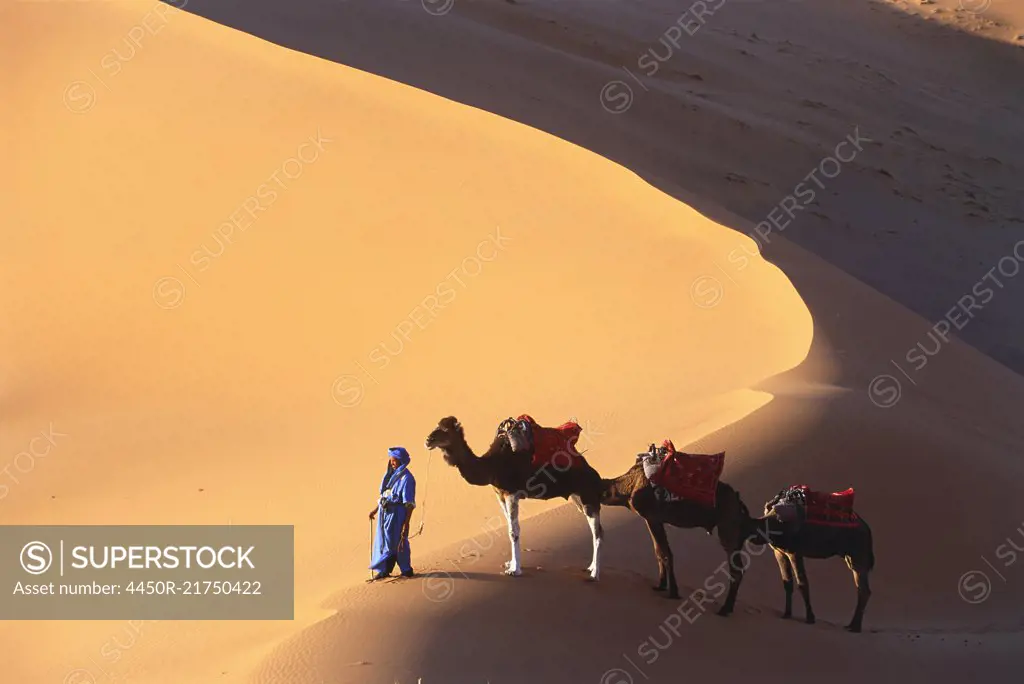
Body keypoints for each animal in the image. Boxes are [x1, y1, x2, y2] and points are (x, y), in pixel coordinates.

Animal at [425, 413, 606, 581]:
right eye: (437, 425)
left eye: (445, 430)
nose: (428, 440)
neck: (491, 466)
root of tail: (595, 476)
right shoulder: (500, 494)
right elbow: (509, 528)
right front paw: (511, 564)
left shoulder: (511, 493)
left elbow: (514, 531)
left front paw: (515, 570)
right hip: (578, 497)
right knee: (595, 529)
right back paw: (591, 567)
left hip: (587, 495)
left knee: (597, 532)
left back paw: (595, 574)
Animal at [598, 448, 753, 614]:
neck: (629, 485)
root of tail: (738, 500)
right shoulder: (651, 520)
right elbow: (659, 552)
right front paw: (660, 586)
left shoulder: (652, 517)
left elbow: (665, 554)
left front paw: (673, 592)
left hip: (727, 526)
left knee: (736, 568)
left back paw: (725, 609)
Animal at [741, 493, 876, 634]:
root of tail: (867, 529)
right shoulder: (779, 552)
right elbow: (787, 583)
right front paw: (786, 614)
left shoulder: (794, 552)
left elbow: (802, 584)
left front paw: (810, 618)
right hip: (851, 556)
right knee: (861, 588)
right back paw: (852, 625)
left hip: (857, 554)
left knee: (863, 589)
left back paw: (855, 627)